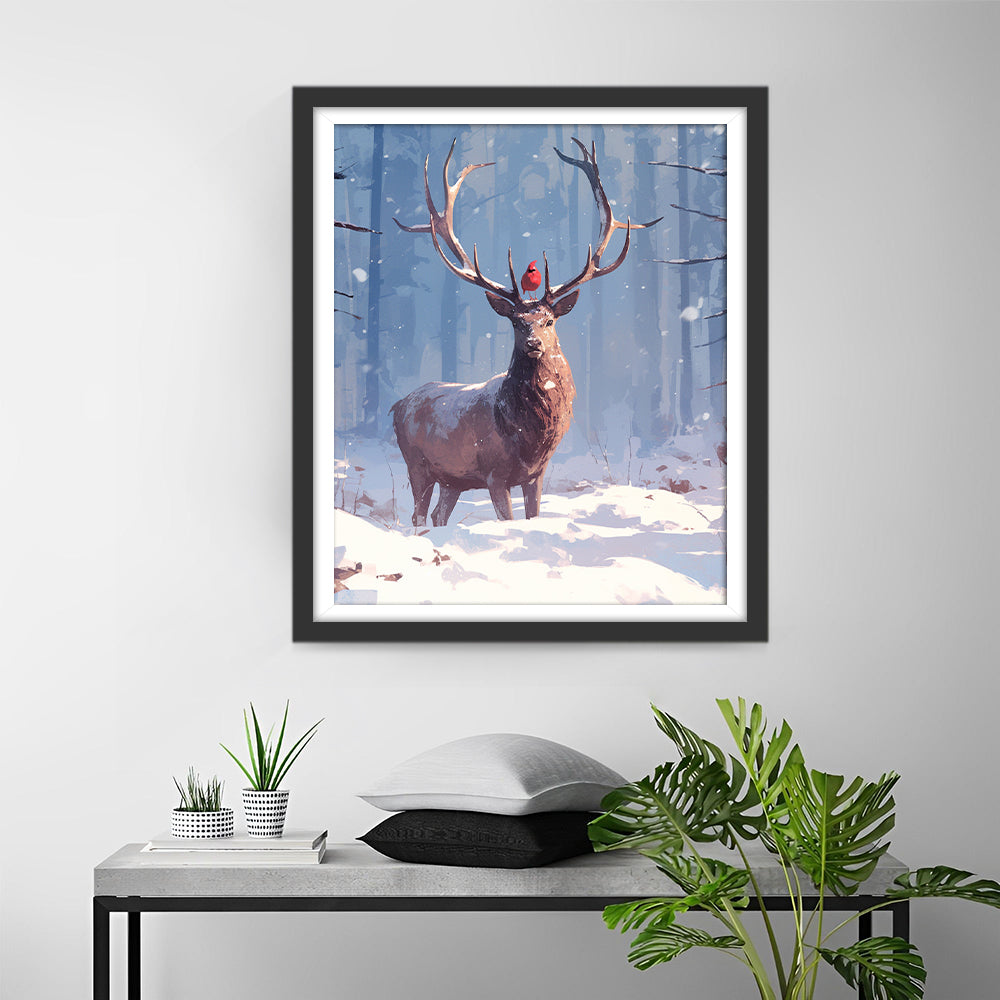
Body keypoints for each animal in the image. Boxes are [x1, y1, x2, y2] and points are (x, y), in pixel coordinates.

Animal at [391, 138, 660, 527]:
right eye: (516, 322)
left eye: (549, 321)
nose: (533, 343)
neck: (529, 438)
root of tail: (396, 405)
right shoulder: (494, 473)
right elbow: (508, 519)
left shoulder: (536, 474)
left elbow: (534, 516)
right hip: (418, 465)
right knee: (417, 516)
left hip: (453, 478)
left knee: (439, 515)